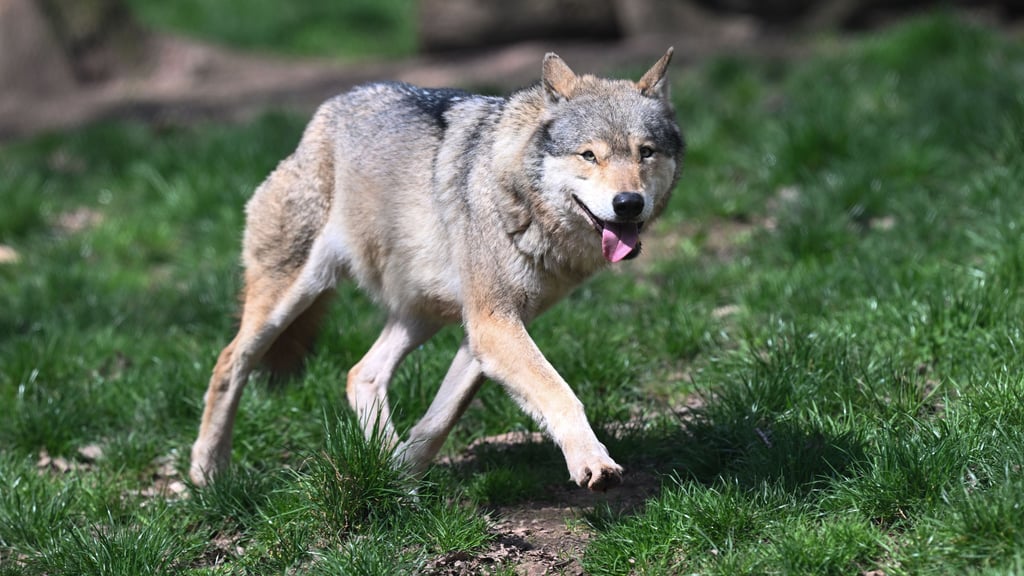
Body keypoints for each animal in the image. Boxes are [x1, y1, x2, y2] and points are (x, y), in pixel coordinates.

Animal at [190, 49, 684, 491]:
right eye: (589, 155)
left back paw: (382, 462)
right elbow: (561, 393)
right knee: (229, 363)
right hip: (289, 300)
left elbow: (439, 421)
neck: (518, 197)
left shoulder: (485, 332)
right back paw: (207, 473)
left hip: (424, 314)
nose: (628, 203)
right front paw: (591, 462)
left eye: (645, 152)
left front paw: (401, 479)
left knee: (361, 373)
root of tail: (325, 114)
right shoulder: (493, 325)